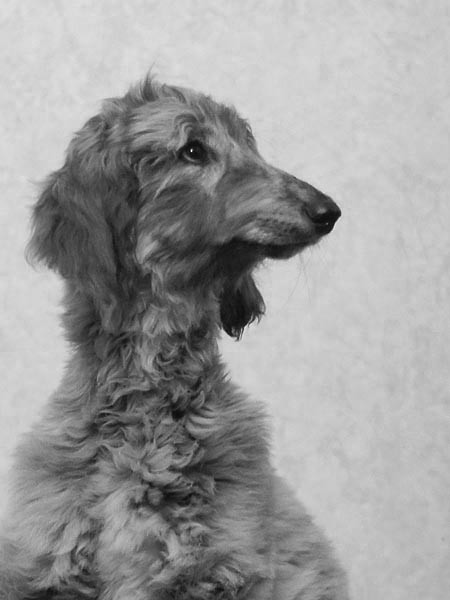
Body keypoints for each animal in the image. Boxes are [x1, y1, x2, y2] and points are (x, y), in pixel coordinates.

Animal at [0, 76, 348, 600]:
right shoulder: (47, 569)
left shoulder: (211, 569)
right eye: (193, 149)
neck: (145, 411)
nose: (327, 211)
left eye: (250, 145)